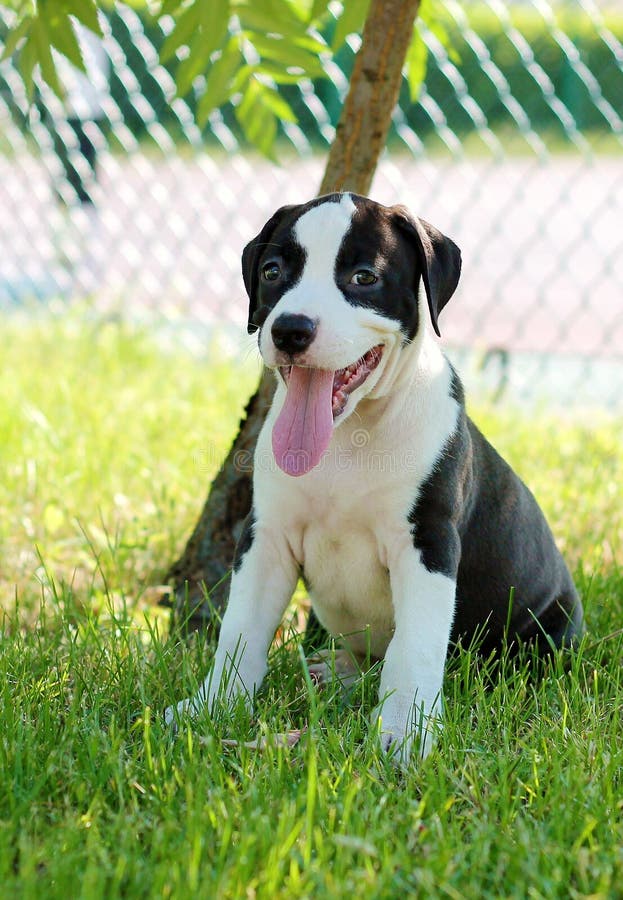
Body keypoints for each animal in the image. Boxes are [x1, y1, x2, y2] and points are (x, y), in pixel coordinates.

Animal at [166, 193, 584, 764]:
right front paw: (212, 707)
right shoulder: (266, 539)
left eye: (364, 278)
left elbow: (415, 647)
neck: (351, 436)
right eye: (272, 272)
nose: (289, 329)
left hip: (541, 632)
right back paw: (336, 673)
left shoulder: (427, 543)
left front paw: (405, 733)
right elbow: (241, 630)